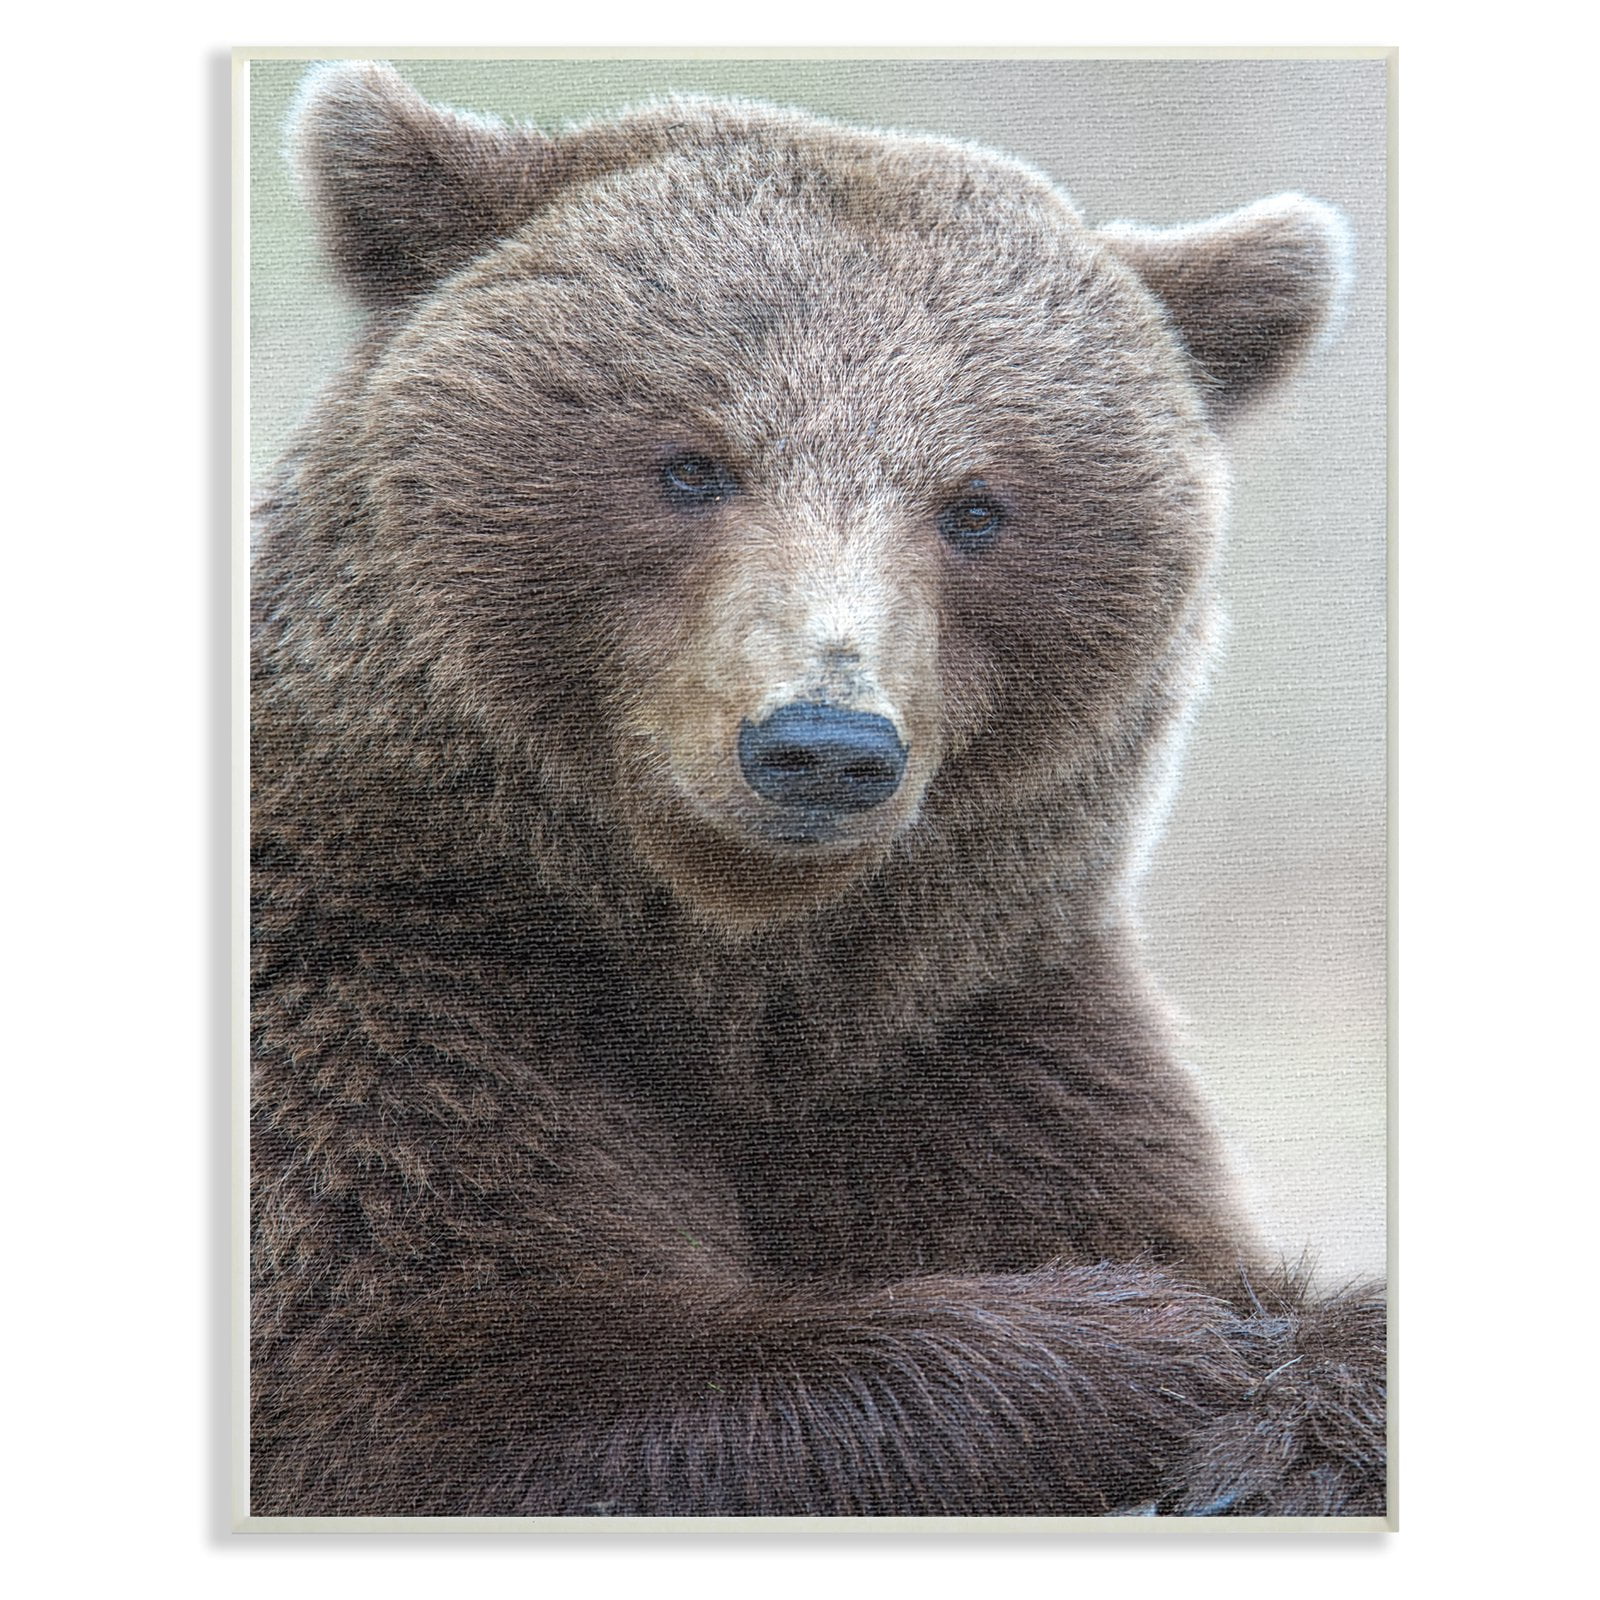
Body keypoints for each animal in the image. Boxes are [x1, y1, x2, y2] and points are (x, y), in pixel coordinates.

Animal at [250, 60, 1386, 1518]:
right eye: (691, 463)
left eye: (978, 506)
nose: (823, 743)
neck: (734, 975)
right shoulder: (382, 989)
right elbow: (457, 1393)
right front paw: (1165, 1346)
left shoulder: (968, 1039)